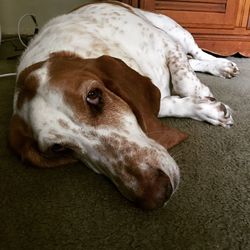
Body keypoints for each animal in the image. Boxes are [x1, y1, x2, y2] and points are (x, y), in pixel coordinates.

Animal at [8, 0, 239, 210]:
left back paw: (222, 65)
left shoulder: (167, 44)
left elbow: (185, 83)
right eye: (58, 148)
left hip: (175, 31)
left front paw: (205, 96)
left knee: (197, 53)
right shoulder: (158, 97)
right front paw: (209, 109)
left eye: (93, 96)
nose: (156, 194)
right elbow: (170, 103)